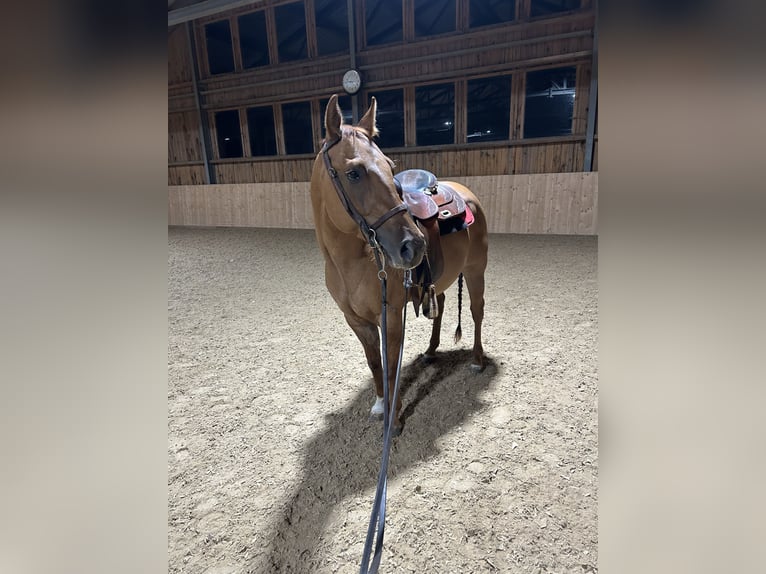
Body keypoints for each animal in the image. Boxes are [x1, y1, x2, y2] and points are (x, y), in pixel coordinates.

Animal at [309, 94, 488, 432]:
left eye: (390, 168)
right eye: (354, 173)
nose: (414, 245)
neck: (350, 263)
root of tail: (467, 193)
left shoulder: (390, 315)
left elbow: (391, 365)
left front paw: (394, 416)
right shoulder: (357, 320)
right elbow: (374, 362)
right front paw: (381, 403)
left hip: (475, 271)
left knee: (476, 311)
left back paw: (477, 359)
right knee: (442, 306)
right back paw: (430, 351)